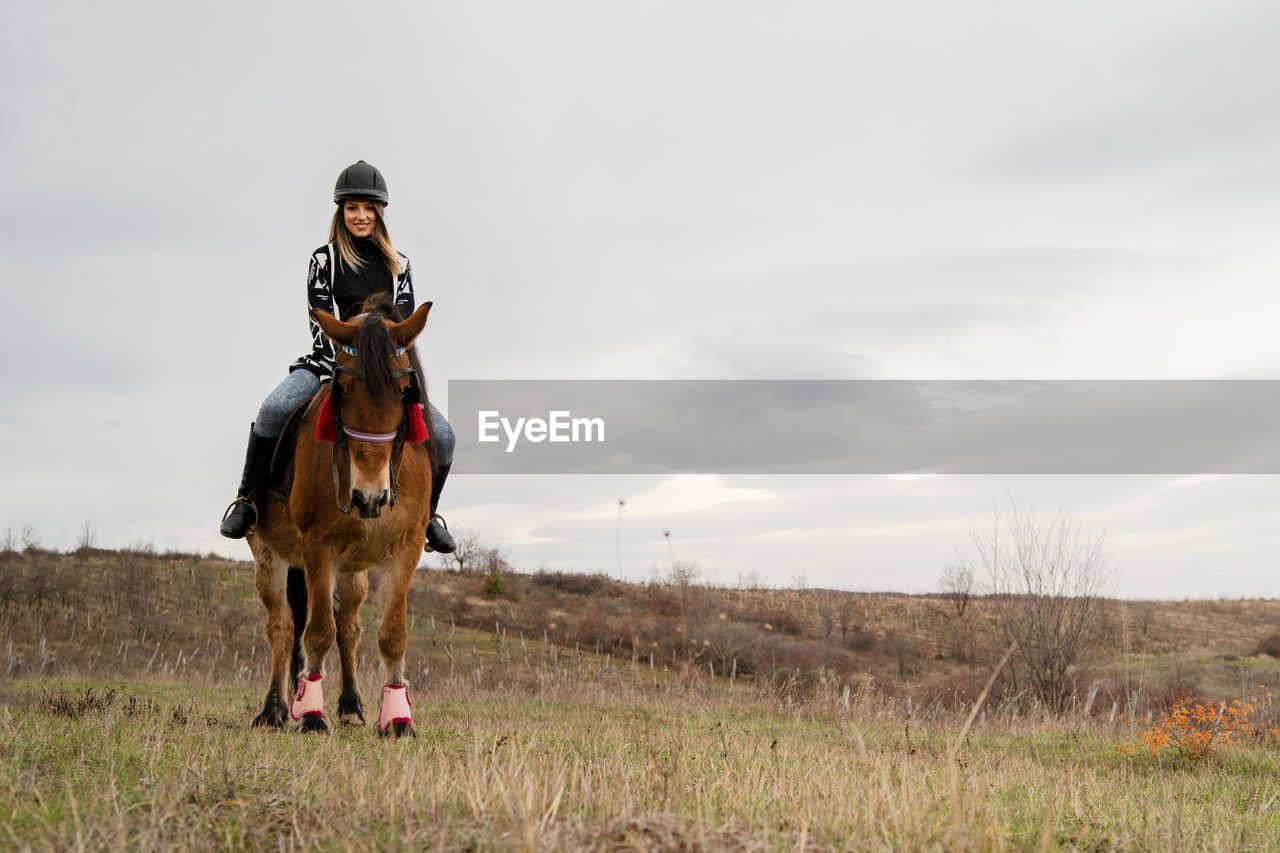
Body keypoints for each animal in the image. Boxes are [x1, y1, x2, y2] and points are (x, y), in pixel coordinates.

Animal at [244, 292, 435, 732]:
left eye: (406, 390)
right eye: (342, 388)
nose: (369, 497)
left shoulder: (407, 548)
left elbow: (392, 634)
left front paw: (398, 718)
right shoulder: (317, 547)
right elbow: (316, 632)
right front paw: (312, 716)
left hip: (353, 573)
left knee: (348, 628)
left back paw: (350, 707)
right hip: (269, 556)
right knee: (282, 628)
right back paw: (274, 709)